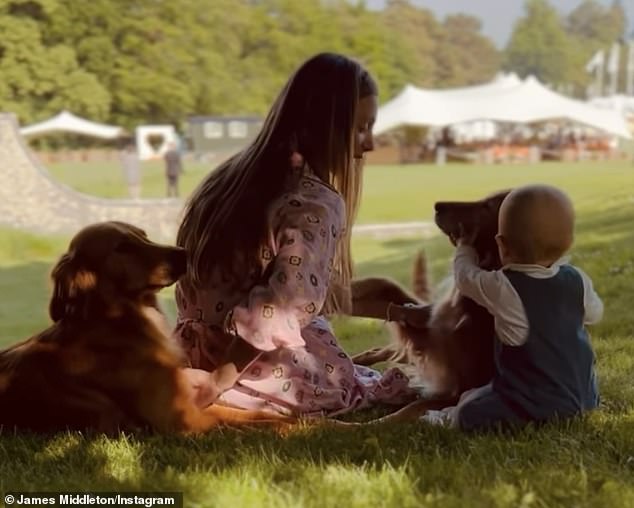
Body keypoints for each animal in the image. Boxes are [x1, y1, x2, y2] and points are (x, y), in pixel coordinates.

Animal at [0, 222, 296, 432]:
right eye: (122, 247)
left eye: (143, 235)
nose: (183, 253)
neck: (124, 320)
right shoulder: (182, 419)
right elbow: (250, 426)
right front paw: (294, 430)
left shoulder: (189, 402)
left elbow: (253, 414)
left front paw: (298, 422)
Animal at [348, 190, 506, 420]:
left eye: (489, 206)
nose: (438, 205)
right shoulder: (431, 333)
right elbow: (387, 285)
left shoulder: (456, 386)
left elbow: (408, 410)